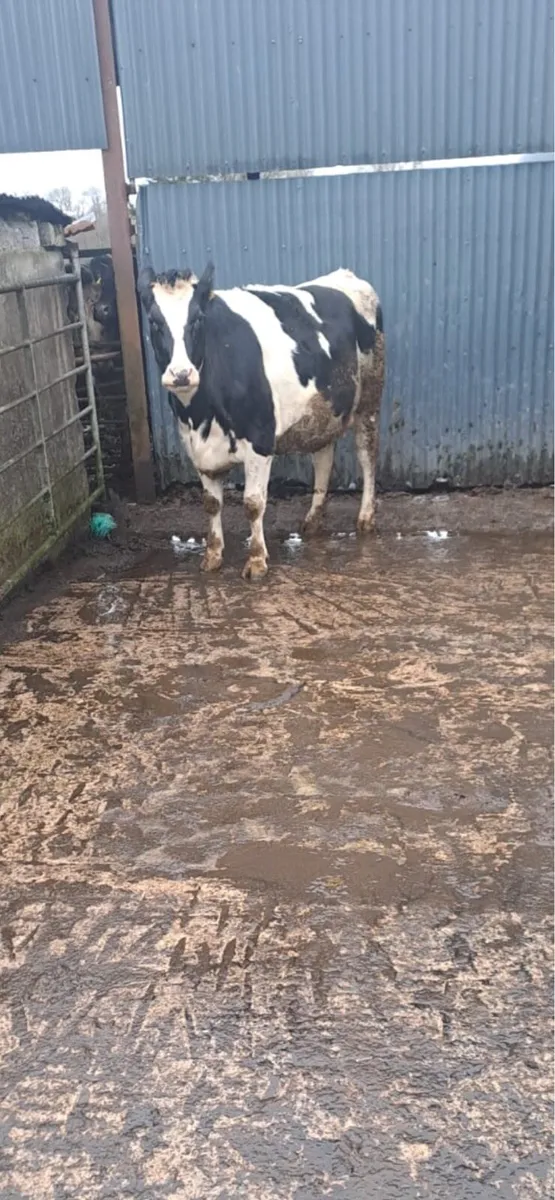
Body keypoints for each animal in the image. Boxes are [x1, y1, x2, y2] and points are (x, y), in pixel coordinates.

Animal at [138, 263, 384, 579]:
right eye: (154, 322)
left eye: (198, 319)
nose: (181, 374)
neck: (200, 414)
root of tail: (345, 275)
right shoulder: (197, 450)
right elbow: (211, 504)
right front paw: (213, 556)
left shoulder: (260, 440)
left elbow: (253, 503)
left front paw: (256, 560)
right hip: (323, 411)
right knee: (323, 459)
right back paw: (313, 520)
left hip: (369, 401)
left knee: (367, 456)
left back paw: (366, 518)